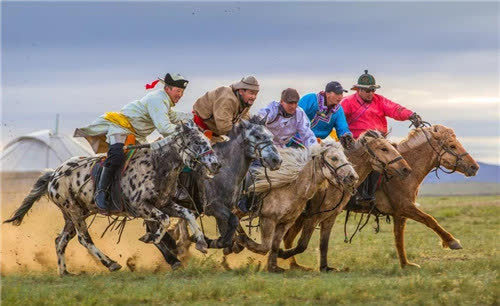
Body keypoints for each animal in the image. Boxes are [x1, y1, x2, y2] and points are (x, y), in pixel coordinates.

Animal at [2, 120, 220, 276]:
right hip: (74, 212)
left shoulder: (164, 203)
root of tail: (54, 174)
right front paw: (153, 238)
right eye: (197, 142)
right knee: (83, 239)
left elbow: (186, 214)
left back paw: (65, 272)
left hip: (76, 213)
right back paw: (111, 263)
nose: (216, 164)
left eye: (207, 141)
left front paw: (201, 243)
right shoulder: (141, 206)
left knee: (60, 240)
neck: (156, 164)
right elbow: (164, 221)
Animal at [146, 116, 284, 268]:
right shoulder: (213, 207)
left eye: (271, 136)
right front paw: (205, 242)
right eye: (258, 136)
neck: (225, 169)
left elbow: (230, 237)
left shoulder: (225, 209)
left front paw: (213, 242)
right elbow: (233, 224)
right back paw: (173, 259)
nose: (276, 160)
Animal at [230, 140, 360, 272]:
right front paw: (241, 241)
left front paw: (273, 267)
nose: (353, 177)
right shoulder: (268, 219)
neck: (290, 188)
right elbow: (265, 246)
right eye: (334, 158)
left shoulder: (286, 222)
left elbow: (274, 245)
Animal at [278, 129, 414, 270]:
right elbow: (302, 244)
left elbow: (323, 244)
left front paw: (325, 267)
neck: (333, 182)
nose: (406, 169)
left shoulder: (330, 217)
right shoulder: (312, 217)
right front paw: (280, 253)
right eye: (384, 149)